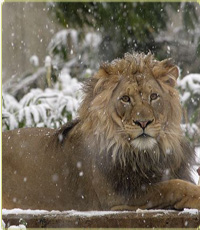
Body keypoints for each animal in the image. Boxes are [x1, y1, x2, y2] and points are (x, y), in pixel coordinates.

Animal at [2, 53, 200, 211]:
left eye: (153, 96)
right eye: (125, 99)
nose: (143, 122)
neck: (149, 153)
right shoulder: (118, 198)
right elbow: (173, 186)